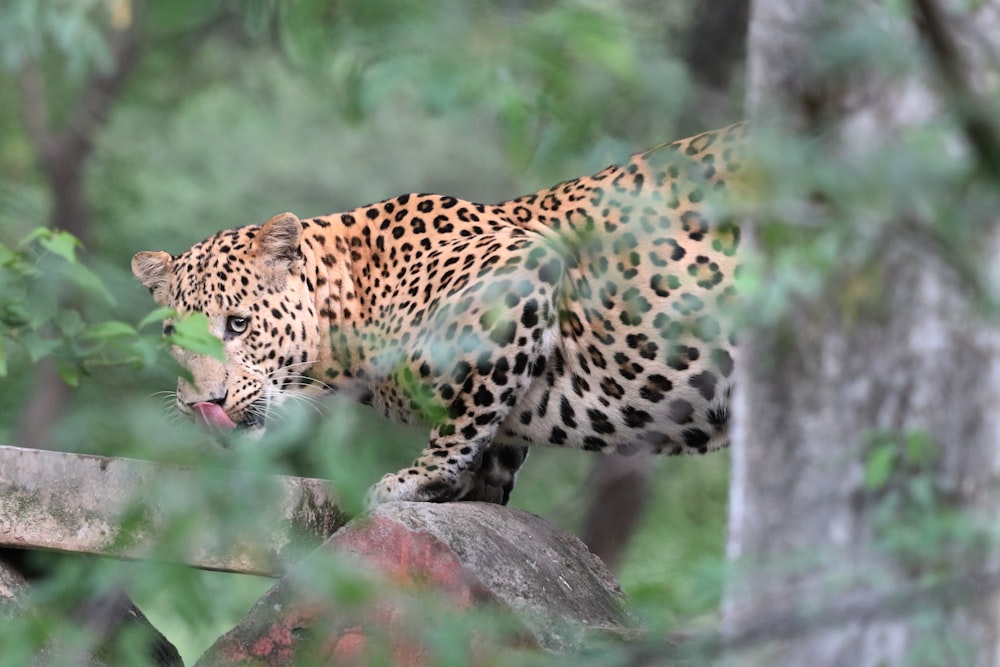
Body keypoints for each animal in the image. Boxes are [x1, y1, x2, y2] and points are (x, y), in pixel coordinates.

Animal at [131, 122, 744, 504]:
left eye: (238, 325)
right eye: (172, 337)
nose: (203, 404)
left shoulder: (521, 268)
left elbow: (469, 409)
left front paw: (421, 478)